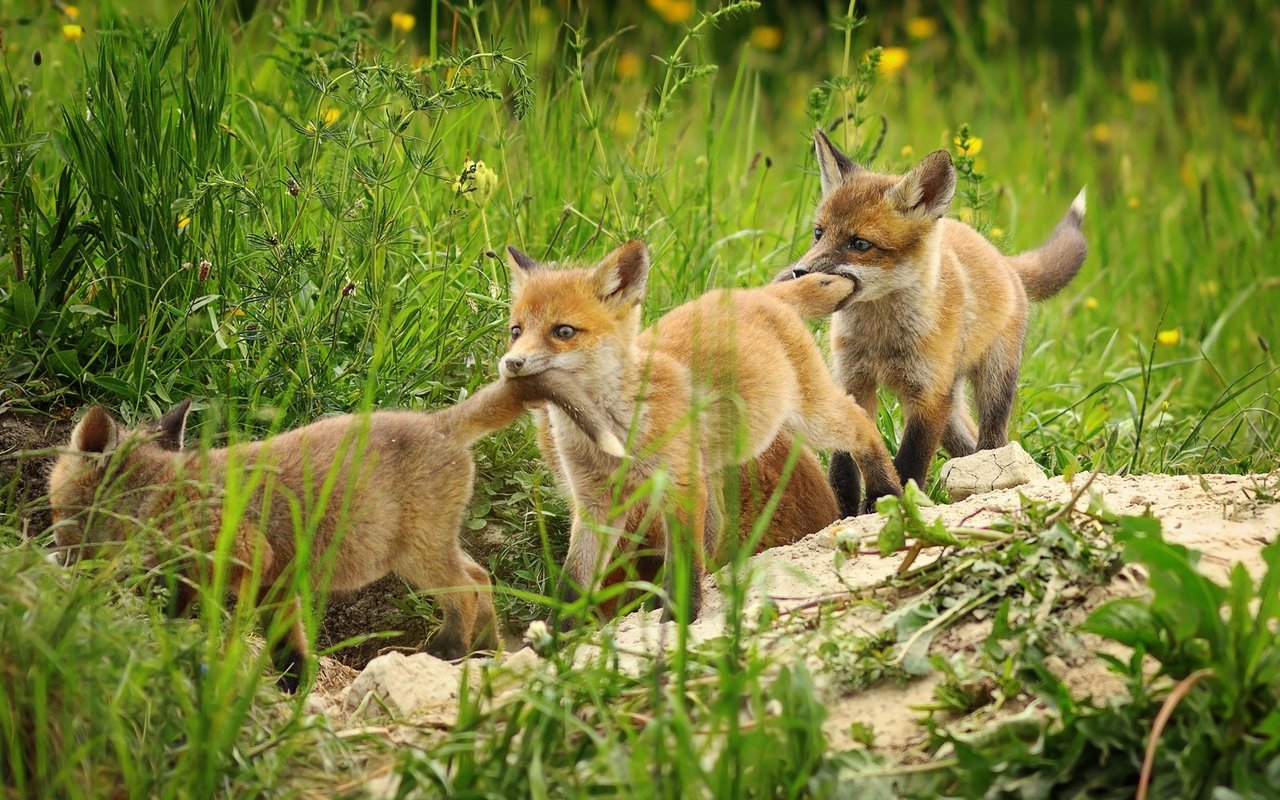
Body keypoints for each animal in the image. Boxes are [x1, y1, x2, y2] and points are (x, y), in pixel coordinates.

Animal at [47, 376, 611, 691]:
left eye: (57, 514)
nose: (62, 561)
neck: (159, 494)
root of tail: (438, 421)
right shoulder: (273, 581)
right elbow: (285, 642)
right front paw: (294, 686)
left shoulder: (248, 557)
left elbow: (207, 614)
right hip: (426, 549)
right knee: (482, 577)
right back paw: (484, 652)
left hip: (415, 556)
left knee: (469, 588)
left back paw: (449, 650)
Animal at [499, 240, 901, 622]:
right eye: (515, 331)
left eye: (563, 331)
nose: (511, 363)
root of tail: (756, 293)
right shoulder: (595, 502)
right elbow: (573, 583)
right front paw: (559, 636)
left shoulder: (677, 488)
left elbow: (680, 564)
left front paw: (678, 621)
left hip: (810, 416)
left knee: (861, 425)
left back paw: (886, 493)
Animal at [778, 129, 1090, 512]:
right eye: (819, 233)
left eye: (860, 244)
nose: (799, 272)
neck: (881, 339)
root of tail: (1000, 258)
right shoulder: (853, 382)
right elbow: (844, 465)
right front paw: (847, 511)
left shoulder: (927, 397)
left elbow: (910, 462)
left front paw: (890, 506)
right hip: (950, 410)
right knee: (967, 445)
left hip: (989, 385)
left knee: (991, 441)